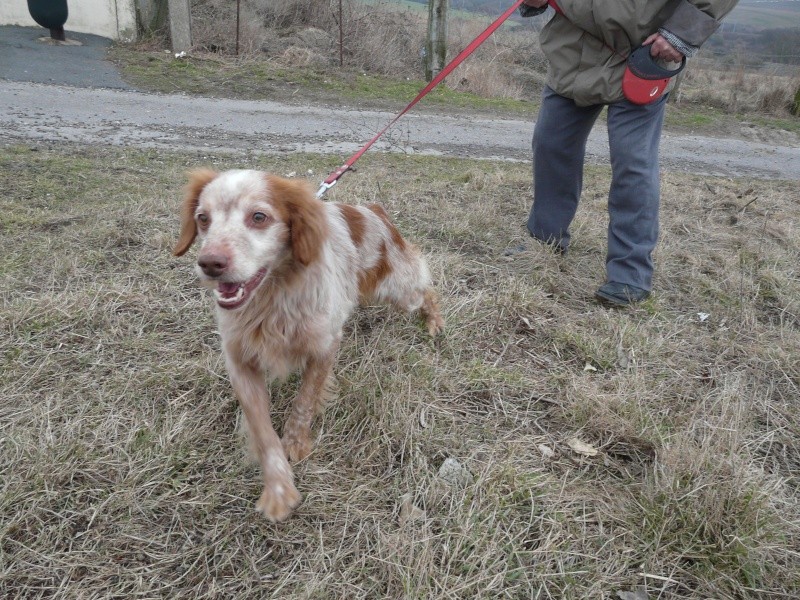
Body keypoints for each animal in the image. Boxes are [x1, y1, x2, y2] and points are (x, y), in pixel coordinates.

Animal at [173, 169, 444, 520]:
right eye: (203, 218)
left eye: (259, 217)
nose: (210, 264)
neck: (274, 297)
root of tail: (374, 211)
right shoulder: (240, 360)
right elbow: (263, 431)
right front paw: (278, 487)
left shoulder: (325, 344)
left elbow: (304, 401)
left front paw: (295, 443)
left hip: (399, 291)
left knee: (426, 290)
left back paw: (434, 322)